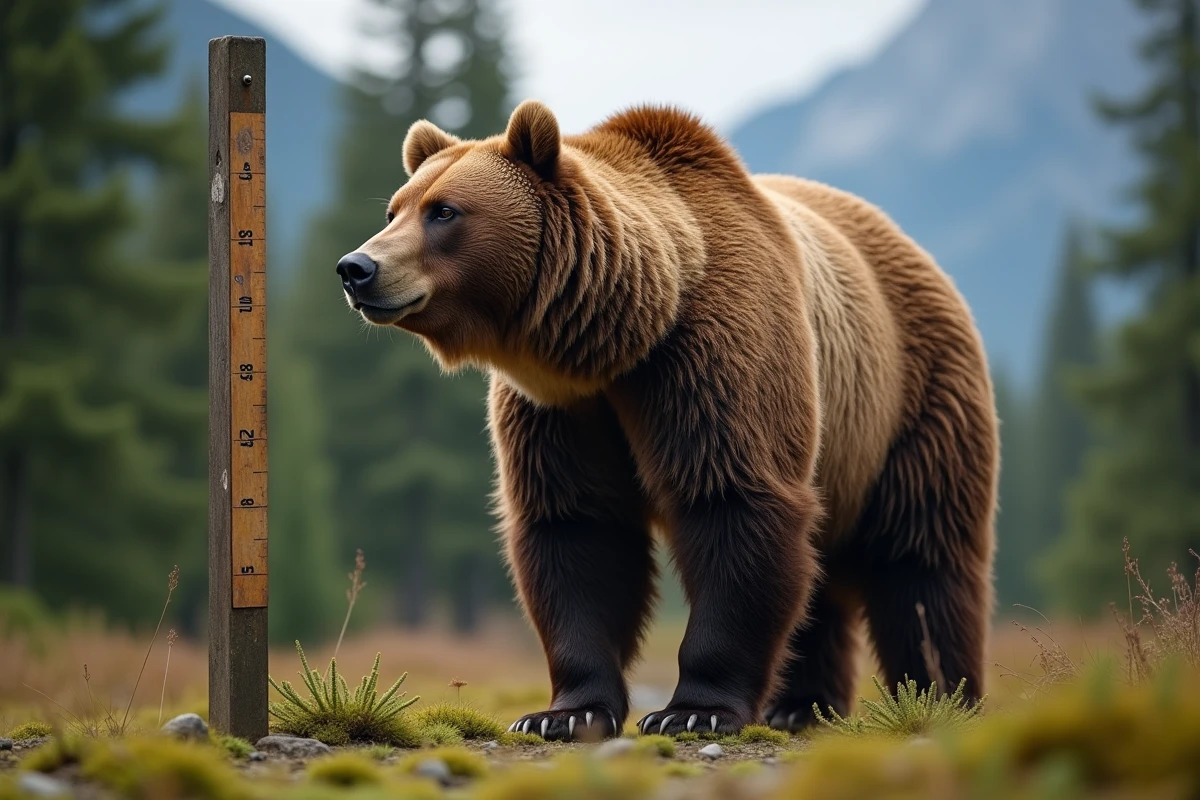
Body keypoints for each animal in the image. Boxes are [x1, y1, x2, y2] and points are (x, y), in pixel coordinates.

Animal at [336, 100, 998, 740]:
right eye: (395, 208)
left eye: (444, 211)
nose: (356, 267)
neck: (619, 339)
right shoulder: (561, 408)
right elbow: (577, 532)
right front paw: (563, 713)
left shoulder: (712, 358)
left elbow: (734, 504)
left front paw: (693, 710)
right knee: (824, 574)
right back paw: (800, 706)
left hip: (912, 400)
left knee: (923, 561)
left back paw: (938, 696)